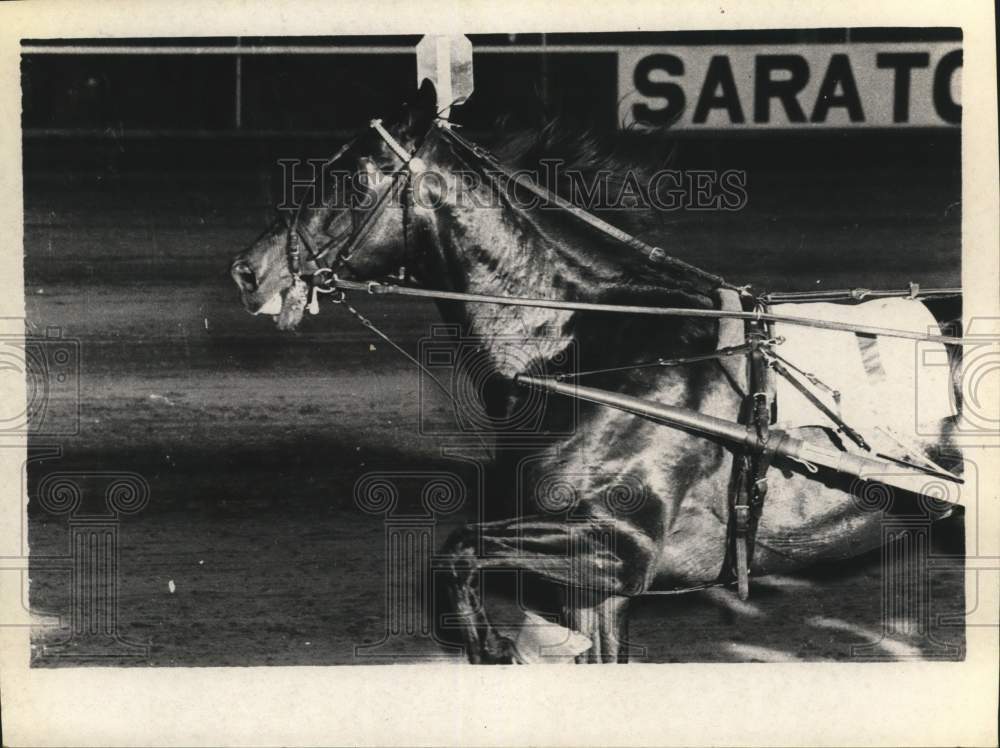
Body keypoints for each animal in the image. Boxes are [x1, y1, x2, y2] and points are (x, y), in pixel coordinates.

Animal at [229, 82, 960, 664]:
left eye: (350, 177)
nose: (248, 270)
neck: (593, 346)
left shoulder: (622, 544)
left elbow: (458, 547)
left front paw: (486, 642)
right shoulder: (592, 584)